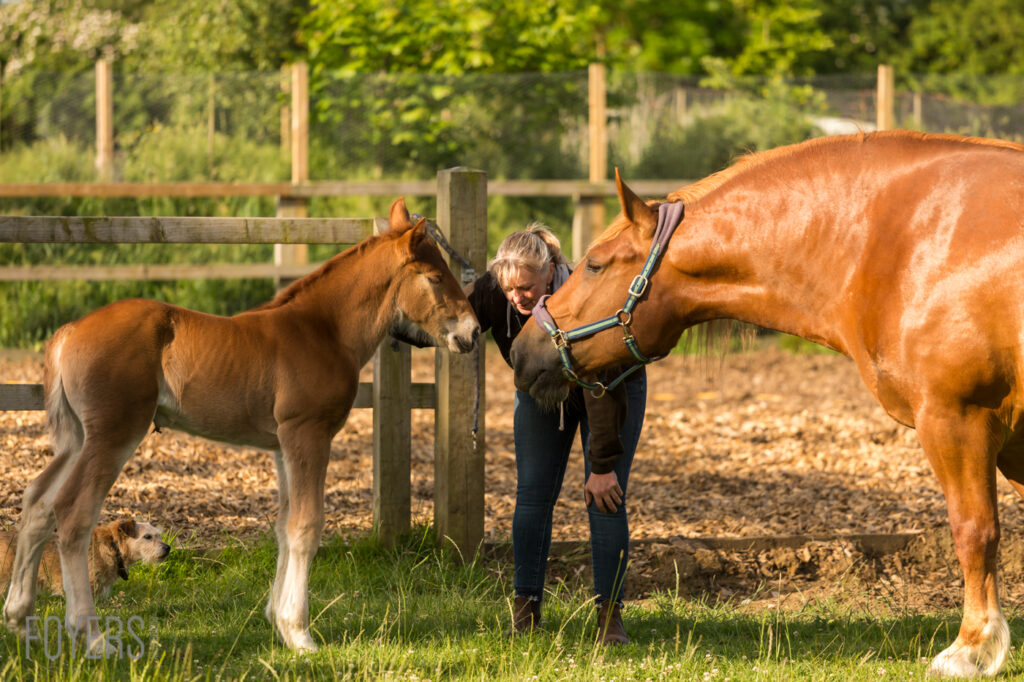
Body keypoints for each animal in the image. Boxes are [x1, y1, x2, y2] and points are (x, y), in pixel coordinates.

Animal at [3, 197, 480, 653]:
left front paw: (279, 624)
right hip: (113, 434)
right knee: (72, 513)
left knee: (38, 504)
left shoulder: (283, 445)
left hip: (76, 439)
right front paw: (301, 635)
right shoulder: (308, 434)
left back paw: (20, 621)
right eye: (435, 277)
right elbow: (306, 526)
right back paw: (91, 636)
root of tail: (70, 330)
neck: (322, 330)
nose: (473, 332)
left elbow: (285, 526)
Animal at [511, 130, 1024, 678]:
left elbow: (974, 531)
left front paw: (971, 648)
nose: (521, 350)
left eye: (595, 264)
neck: (904, 243)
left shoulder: (956, 418)